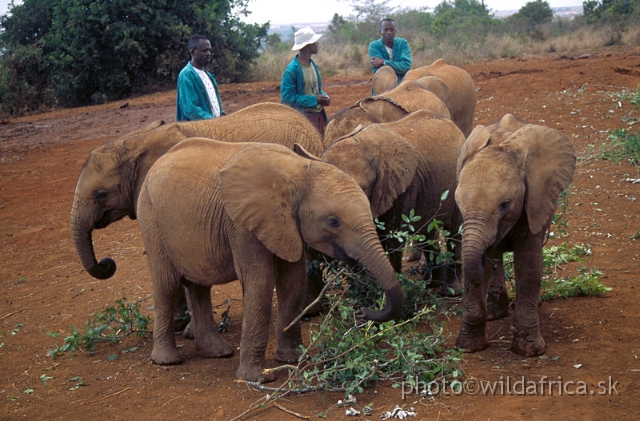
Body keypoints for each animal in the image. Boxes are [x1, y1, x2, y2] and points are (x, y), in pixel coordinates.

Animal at [137, 137, 402, 380]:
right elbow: (260, 283)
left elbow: (293, 281)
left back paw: (217, 352)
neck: (297, 172)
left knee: (199, 286)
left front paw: (293, 359)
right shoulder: (242, 225)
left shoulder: (288, 226)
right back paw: (168, 361)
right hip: (150, 219)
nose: (364, 312)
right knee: (167, 286)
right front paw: (258, 378)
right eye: (333, 221)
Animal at [302, 109, 464, 292]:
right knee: (427, 230)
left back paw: (451, 290)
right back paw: (431, 284)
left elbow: (390, 239)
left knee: (454, 232)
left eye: (362, 188)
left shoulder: (401, 187)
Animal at [452, 115, 576, 358]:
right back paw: (494, 313)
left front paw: (529, 351)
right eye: (458, 203)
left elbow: (529, 266)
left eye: (505, 204)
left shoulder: (535, 200)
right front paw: (468, 348)